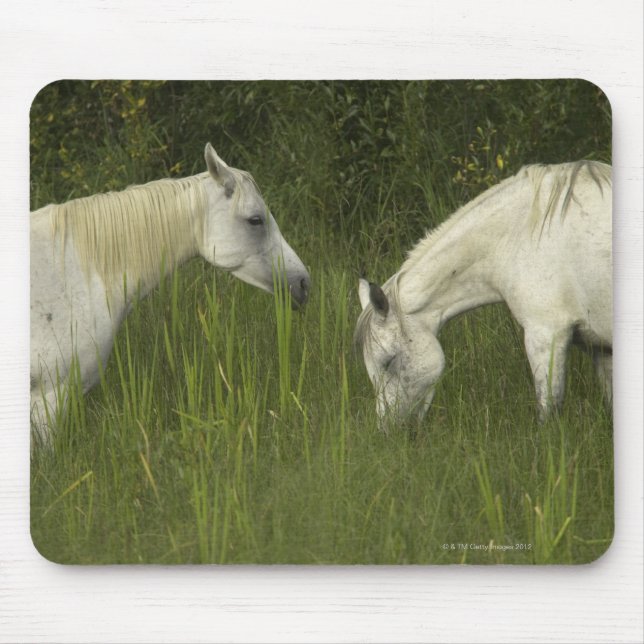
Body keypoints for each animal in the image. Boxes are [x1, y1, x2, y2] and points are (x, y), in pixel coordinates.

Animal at [355, 160, 612, 424]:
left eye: (389, 361)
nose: (388, 428)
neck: (521, 236)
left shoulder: (546, 335)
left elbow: (547, 411)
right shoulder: (601, 349)